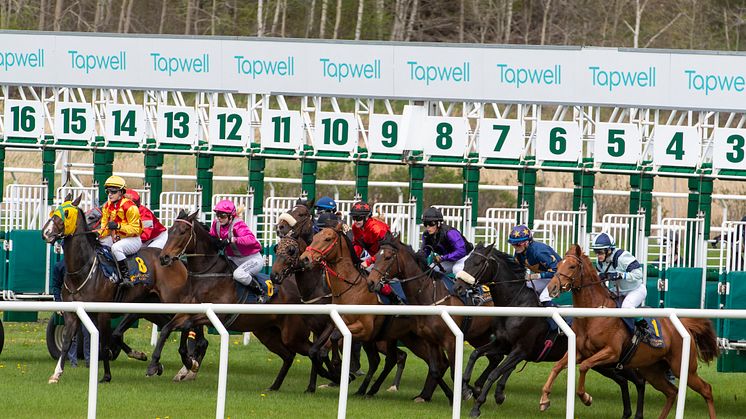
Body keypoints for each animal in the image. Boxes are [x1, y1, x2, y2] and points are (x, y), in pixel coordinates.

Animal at [40, 195, 192, 386]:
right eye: (53, 211)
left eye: (66, 213)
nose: (46, 232)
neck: (83, 271)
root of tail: (174, 259)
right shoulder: (73, 313)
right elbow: (67, 342)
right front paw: (56, 374)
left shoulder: (103, 314)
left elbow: (105, 343)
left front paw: (106, 376)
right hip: (151, 308)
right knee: (168, 325)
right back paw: (163, 365)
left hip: (172, 301)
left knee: (186, 322)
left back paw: (188, 364)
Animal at [155, 210, 318, 394]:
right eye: (170, 230)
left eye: (183, 231)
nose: (164, 258)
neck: (207, 276)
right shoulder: (187, 311)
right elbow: (169, 328)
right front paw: (157, 365)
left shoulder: (218, 315)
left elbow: (189, 328)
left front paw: (189, 365)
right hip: (267, 333)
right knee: (290, 356)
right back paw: (275, 386)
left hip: (293, 334)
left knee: (315, 352)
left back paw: (315, 385)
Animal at [298, 225, 450, 402]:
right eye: (314, 237)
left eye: (328, 239)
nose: (305, 258)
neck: (351, 289)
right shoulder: (334, 324)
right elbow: (316, 350)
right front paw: (335, 375)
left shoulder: (364, 329)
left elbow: (334, 340)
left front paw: (342, 372)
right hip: (405, 337)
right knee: (393, 359)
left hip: (418, 338)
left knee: (437, 363)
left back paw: (427, 394)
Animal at [448, 243, 644, 419]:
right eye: (466, 262)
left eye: (478, 263)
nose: (458, 287)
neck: (516, 303)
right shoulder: (503, 343)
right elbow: (475, 355)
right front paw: (465, 388)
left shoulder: (521, 350)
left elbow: (494, 373)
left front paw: (477, 407)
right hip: (605, 364)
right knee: (624, 380)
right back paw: (626, 413)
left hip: (613, 359)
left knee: (638, 380)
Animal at [540, 244, 716, 418]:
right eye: (558, 265)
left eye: (572, 266)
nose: (551, 288)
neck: (592, 315)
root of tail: (684, 325)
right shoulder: (579, 351)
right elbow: (557, 366)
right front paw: (544, 398)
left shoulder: (611, 352)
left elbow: (584, 366)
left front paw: (585, 397)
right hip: (652, 370)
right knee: (672, 392)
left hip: (683, 368)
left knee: (706, 389)